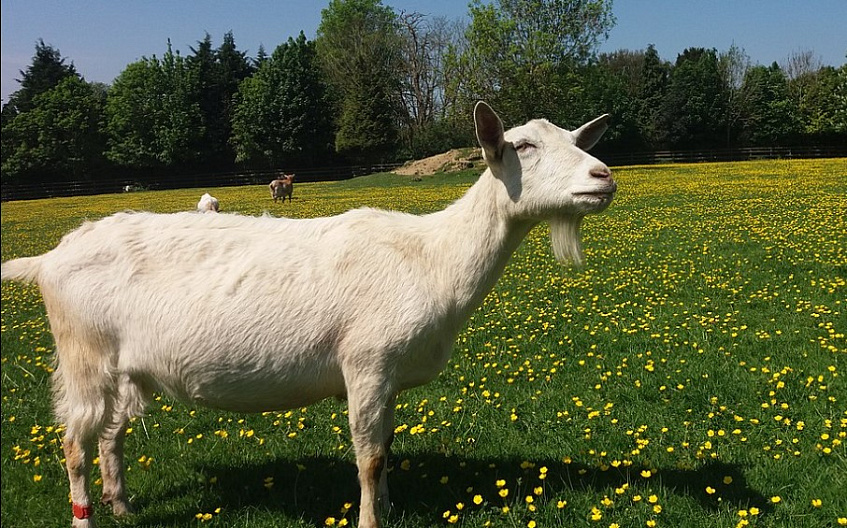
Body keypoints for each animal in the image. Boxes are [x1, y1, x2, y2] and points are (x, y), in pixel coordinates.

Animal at [0, 101, 612, 524]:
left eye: (574, 139)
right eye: (523, 145)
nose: (603, 176)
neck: (431, 257)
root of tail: (51, 257)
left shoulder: (387, 377)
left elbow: (387, 446)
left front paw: (388, 507)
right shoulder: (366, 363)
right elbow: (368, 455)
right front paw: (369, 520)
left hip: (123, 368)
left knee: (111, 436)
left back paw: (123, 505)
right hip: (82, 355)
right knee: (73, 444)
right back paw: (86, 514)